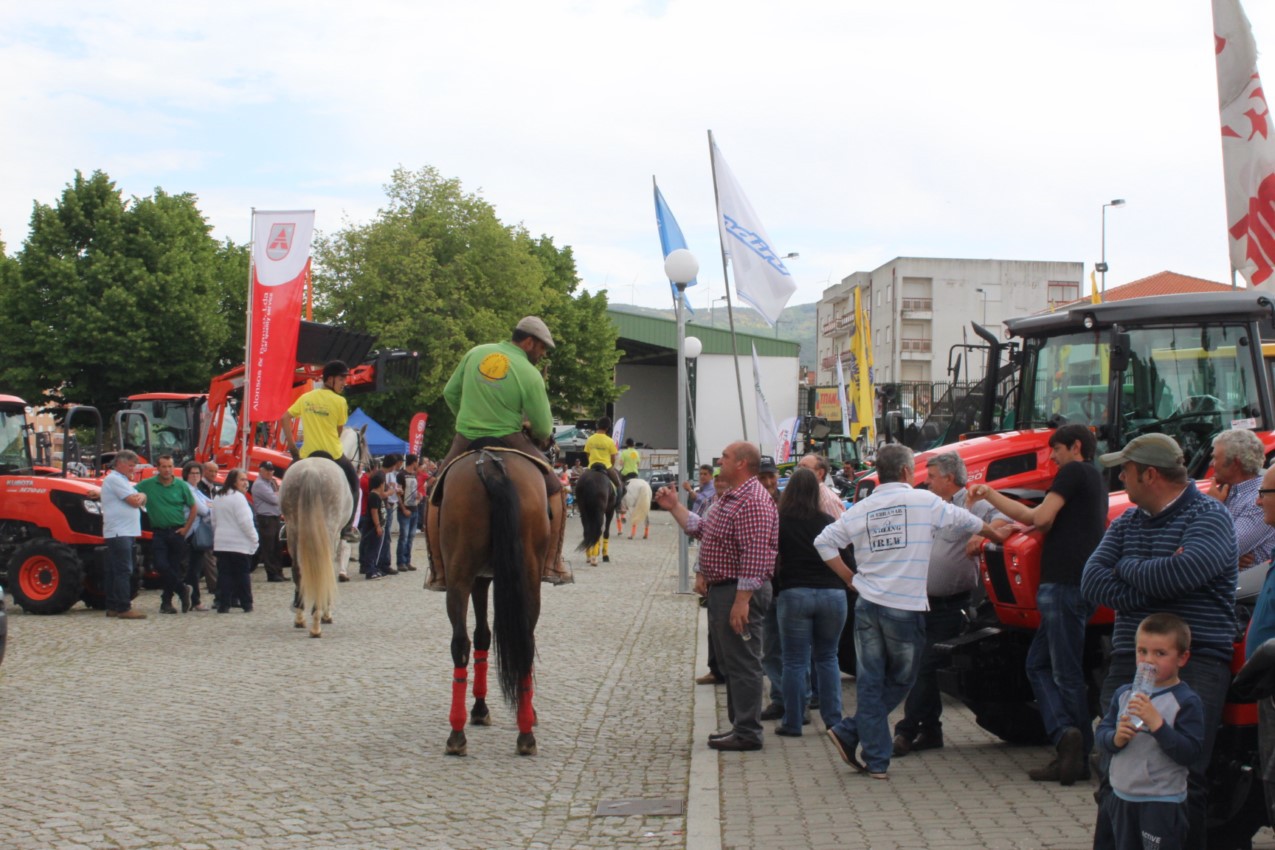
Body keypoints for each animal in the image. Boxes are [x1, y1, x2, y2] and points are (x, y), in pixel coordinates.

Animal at [438, 446, 548, 759]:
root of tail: (490, 465)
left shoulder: (479, 579)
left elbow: (482, 636)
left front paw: (479, 708)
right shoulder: (482, 579)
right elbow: (483, 636)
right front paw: (481, 709)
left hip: (461, 575)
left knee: (461, 644)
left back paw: (458, 733)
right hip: (521, 576)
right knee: (522, 641)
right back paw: (523, 731)